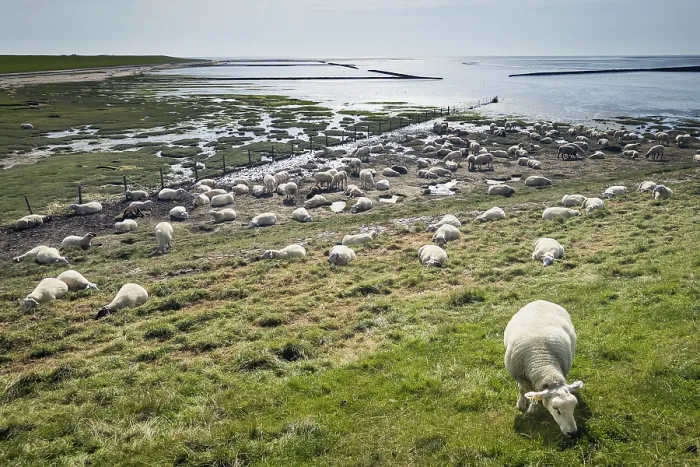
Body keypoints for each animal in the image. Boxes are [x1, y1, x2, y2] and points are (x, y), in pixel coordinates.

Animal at [504, 300, 582, 436]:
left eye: (574, 406)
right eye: (556, 408)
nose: (573, 433)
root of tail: (540, 301)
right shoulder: (520, 376)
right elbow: (524, 391)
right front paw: (528, 406)